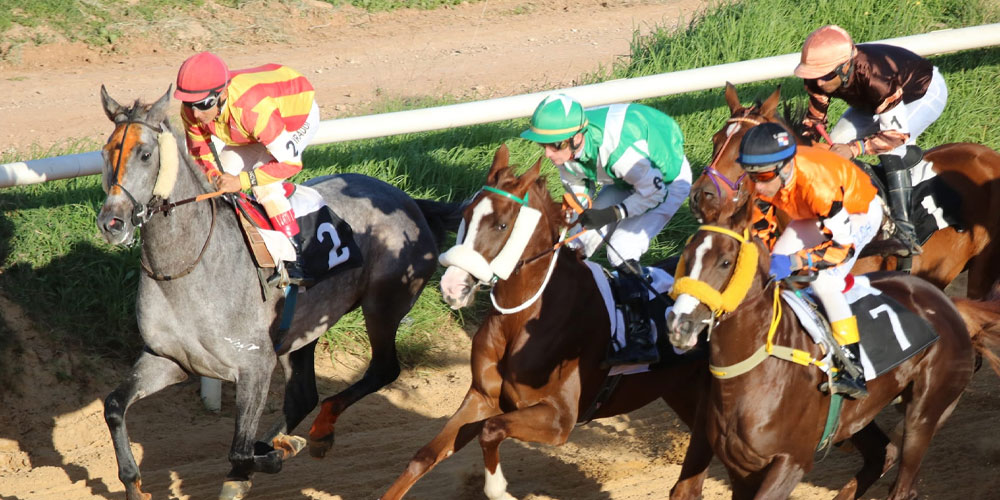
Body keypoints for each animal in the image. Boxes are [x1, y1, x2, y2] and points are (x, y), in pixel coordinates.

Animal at [97, 86, 458, 500]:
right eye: (105, 152)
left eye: (144, 154)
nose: (111, 223)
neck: (186, 269)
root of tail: (411, 202)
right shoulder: (168, 358)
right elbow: (113, 406)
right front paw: (133, 481)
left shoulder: (255, 366)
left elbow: (239, 451)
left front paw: (270, 454)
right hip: (304, 328)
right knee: (303, 394)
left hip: (383, 304)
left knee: (383, 369)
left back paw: (316, 434)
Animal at [378, 146, 716, 500]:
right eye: (466, 215)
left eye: (501, 225)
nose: (452, 286)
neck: (524, 317)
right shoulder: (483, 397)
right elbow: (425, 456)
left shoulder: (559, 418)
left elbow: (491, 430)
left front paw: (500, 490)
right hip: (682, 392)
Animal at [664, 189, 1000, 498]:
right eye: (686, 257)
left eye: (725, 262)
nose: (679, 323)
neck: (755, 372)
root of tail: (948, 303)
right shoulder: (740, 468)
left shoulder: (792, 461)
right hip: (859, 415)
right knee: (883, 453)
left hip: (927, 411)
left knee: (904, 480)